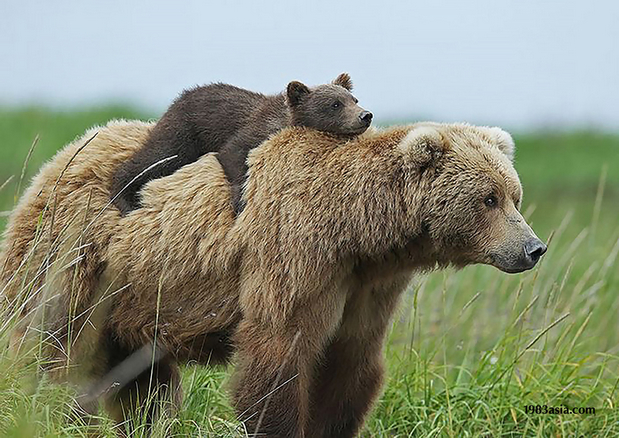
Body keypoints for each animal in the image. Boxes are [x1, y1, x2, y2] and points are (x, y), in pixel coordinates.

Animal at [0, 120, 544, 438]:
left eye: (514, 194)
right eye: (489, 198)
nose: (533, 248)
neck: (358, 231)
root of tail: (59, 157)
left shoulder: (365, 286)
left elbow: (350, 364)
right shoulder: (295, 254)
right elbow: (278, 355)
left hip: (134, 298)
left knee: (142, 380)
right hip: (75, 256)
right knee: (53, 348)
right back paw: (50, 414)